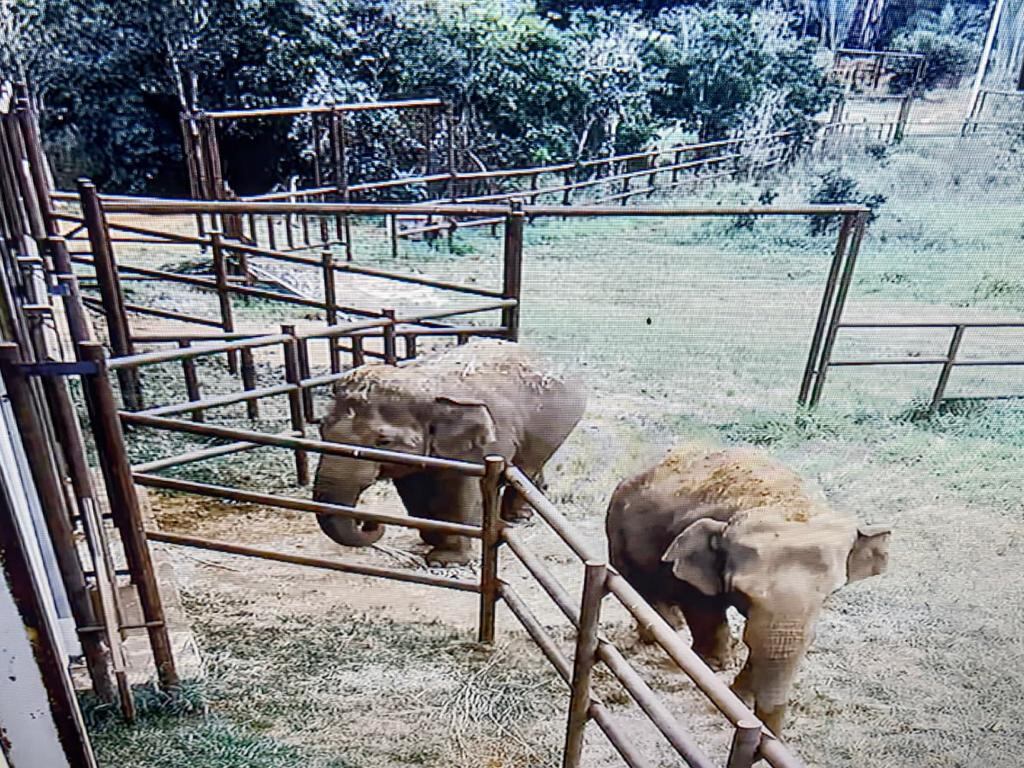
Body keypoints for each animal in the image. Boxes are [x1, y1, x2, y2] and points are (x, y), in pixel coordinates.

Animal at [309, 339, 585, 569]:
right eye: (321, 428)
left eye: (382, 441)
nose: (370, 522)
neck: (425, 389)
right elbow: (414, 494)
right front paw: (431, 539)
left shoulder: (473, 450)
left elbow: (457, 494)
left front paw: (446, 561)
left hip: (556, 422)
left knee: (528, 466)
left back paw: (516, 519)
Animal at [606, 444, 888, 741]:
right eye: (743, 591)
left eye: (830, 592)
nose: (765, 732)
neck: (781, 500)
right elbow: (703, 605)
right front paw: (716, 666)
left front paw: (737, 691)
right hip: (616, 532)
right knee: (639, 587)